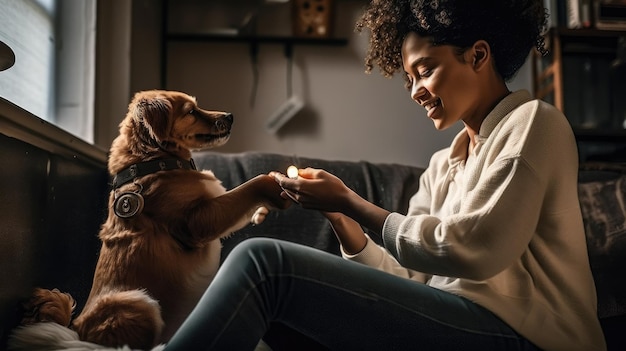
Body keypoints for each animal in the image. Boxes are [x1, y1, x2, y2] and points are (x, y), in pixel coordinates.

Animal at [15, 90, 288, 350]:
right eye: (191, 111)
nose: (230, 116)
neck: (155, 162)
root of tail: (76, 328)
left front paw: (263, 209)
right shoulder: (198, 223)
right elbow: (251, 186)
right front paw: (276, 187)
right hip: (138, 302)